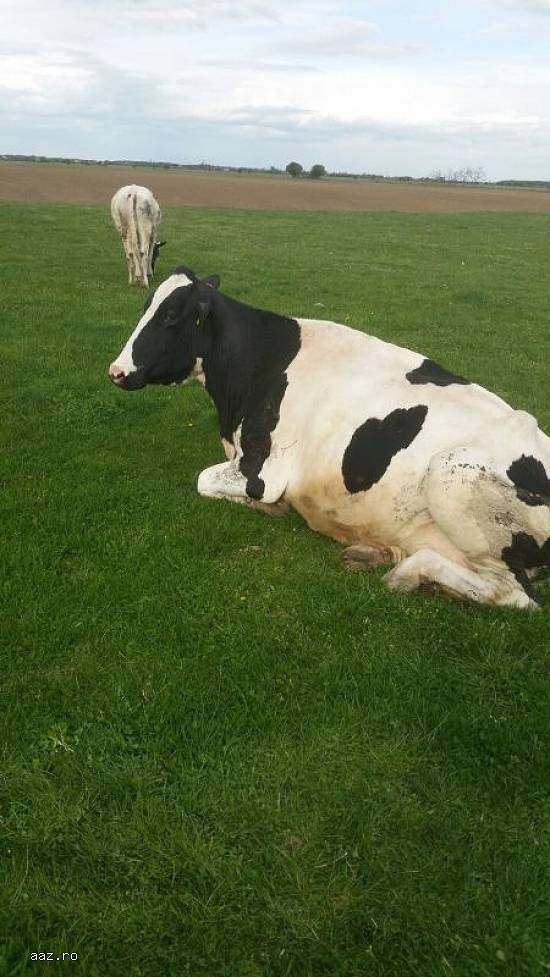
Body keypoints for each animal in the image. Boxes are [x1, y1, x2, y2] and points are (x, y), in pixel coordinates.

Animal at [108, 266, 550, 610]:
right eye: (146, 306)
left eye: (170, 315)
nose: (116, 370)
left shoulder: (263, 470)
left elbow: (204, 480)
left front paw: (270, 508)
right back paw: (377, 552)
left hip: (453, 474)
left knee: (514, 595)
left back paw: (408, 574)